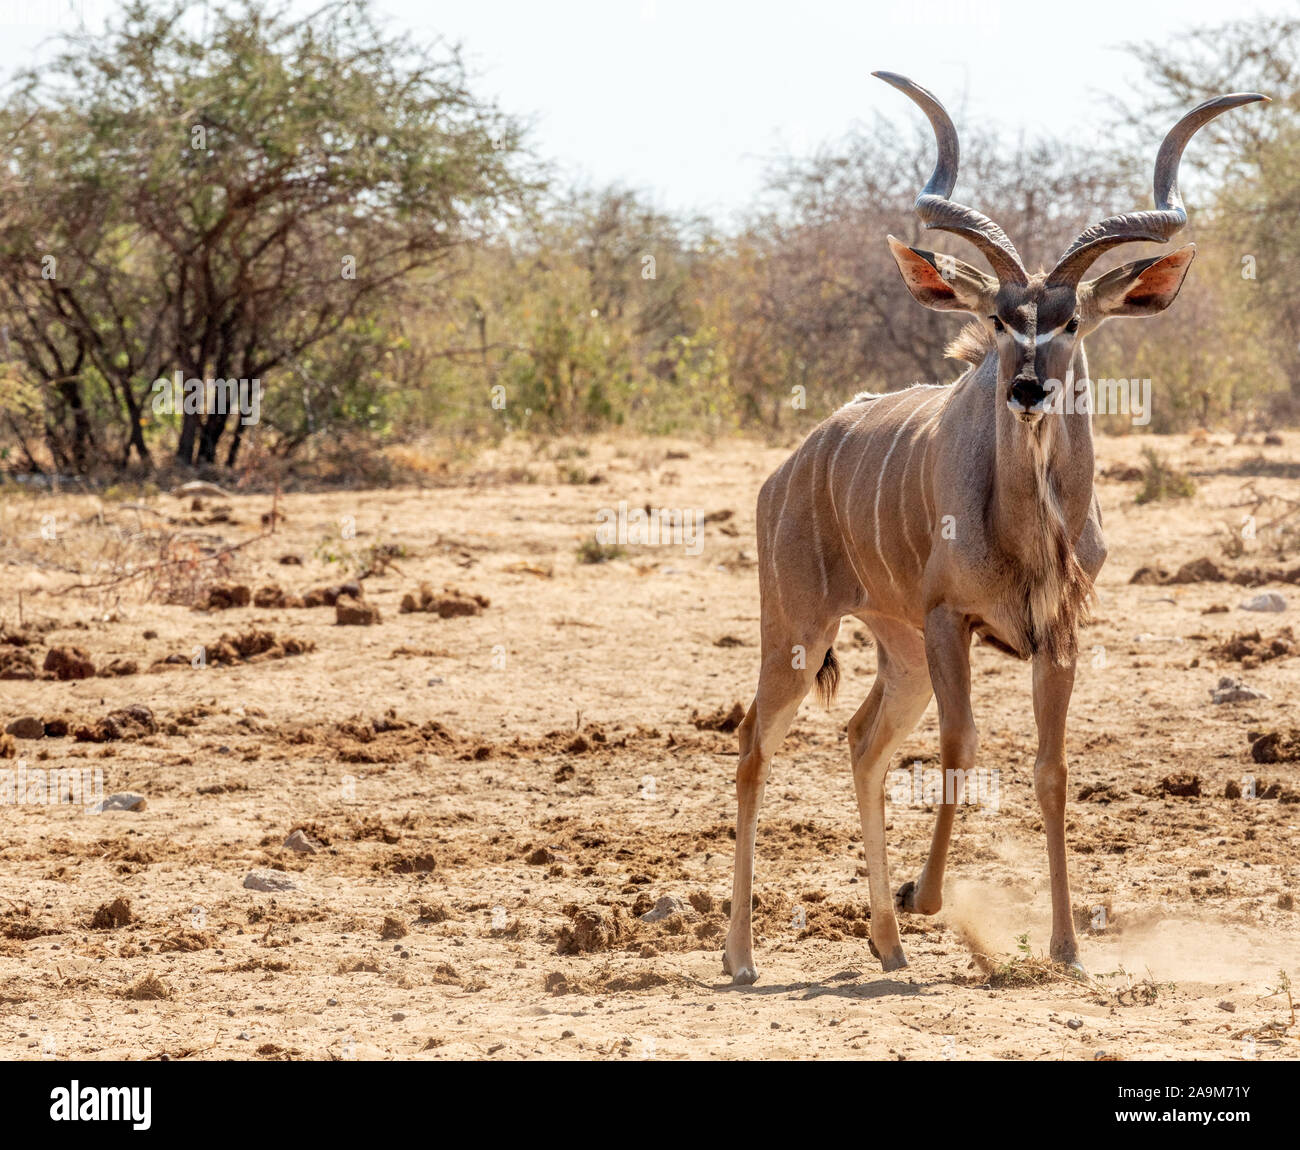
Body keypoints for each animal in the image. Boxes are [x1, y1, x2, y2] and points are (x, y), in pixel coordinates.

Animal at [728, 74, 1263, 987]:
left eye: (1071, 321)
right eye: (1005, 318)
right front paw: (927, 896)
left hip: (898, 650)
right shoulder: (953, 622)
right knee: (754, 750)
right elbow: (961, 748)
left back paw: (886, 943)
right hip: (799, 631)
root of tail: (789, 470)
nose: (1027, 388)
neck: (1031, 532)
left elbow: (1051, 769)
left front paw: (1067, 946)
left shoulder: (1057, 633)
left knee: (861, 741)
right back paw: (743, 956)